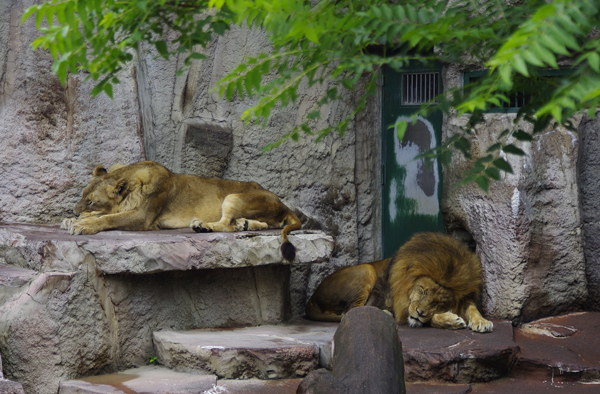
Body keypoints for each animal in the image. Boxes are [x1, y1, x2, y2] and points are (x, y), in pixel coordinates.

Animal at [62, 160, 300, 262]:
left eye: (91, 201)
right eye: (82, 195)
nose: (74, 212)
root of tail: (282, 203)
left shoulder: (144, 216)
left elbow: (110, 218)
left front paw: (82, 224)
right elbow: (108, 214)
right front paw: (70, 221)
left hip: (233, 196)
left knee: (225, 225)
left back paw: (202, 225)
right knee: (258, 224)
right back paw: (245, 224)